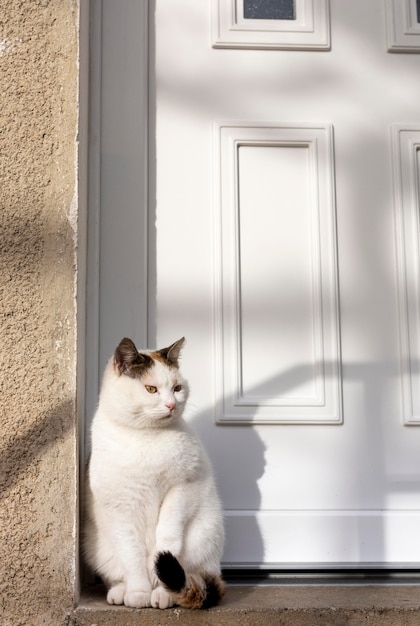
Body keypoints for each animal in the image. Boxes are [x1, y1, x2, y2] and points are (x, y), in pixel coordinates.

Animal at [83, 338, 225, 608]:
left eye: (177, 388)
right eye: (151, 389)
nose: (171, 405)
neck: (147, 436)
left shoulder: (183, 488)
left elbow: (166, 541)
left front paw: (159, 588)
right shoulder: (120, 506)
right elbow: (132, 554)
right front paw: (138, 593)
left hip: (203, 538)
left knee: (188, 575)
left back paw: (163, 594)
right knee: (118, 571)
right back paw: (121, 592)